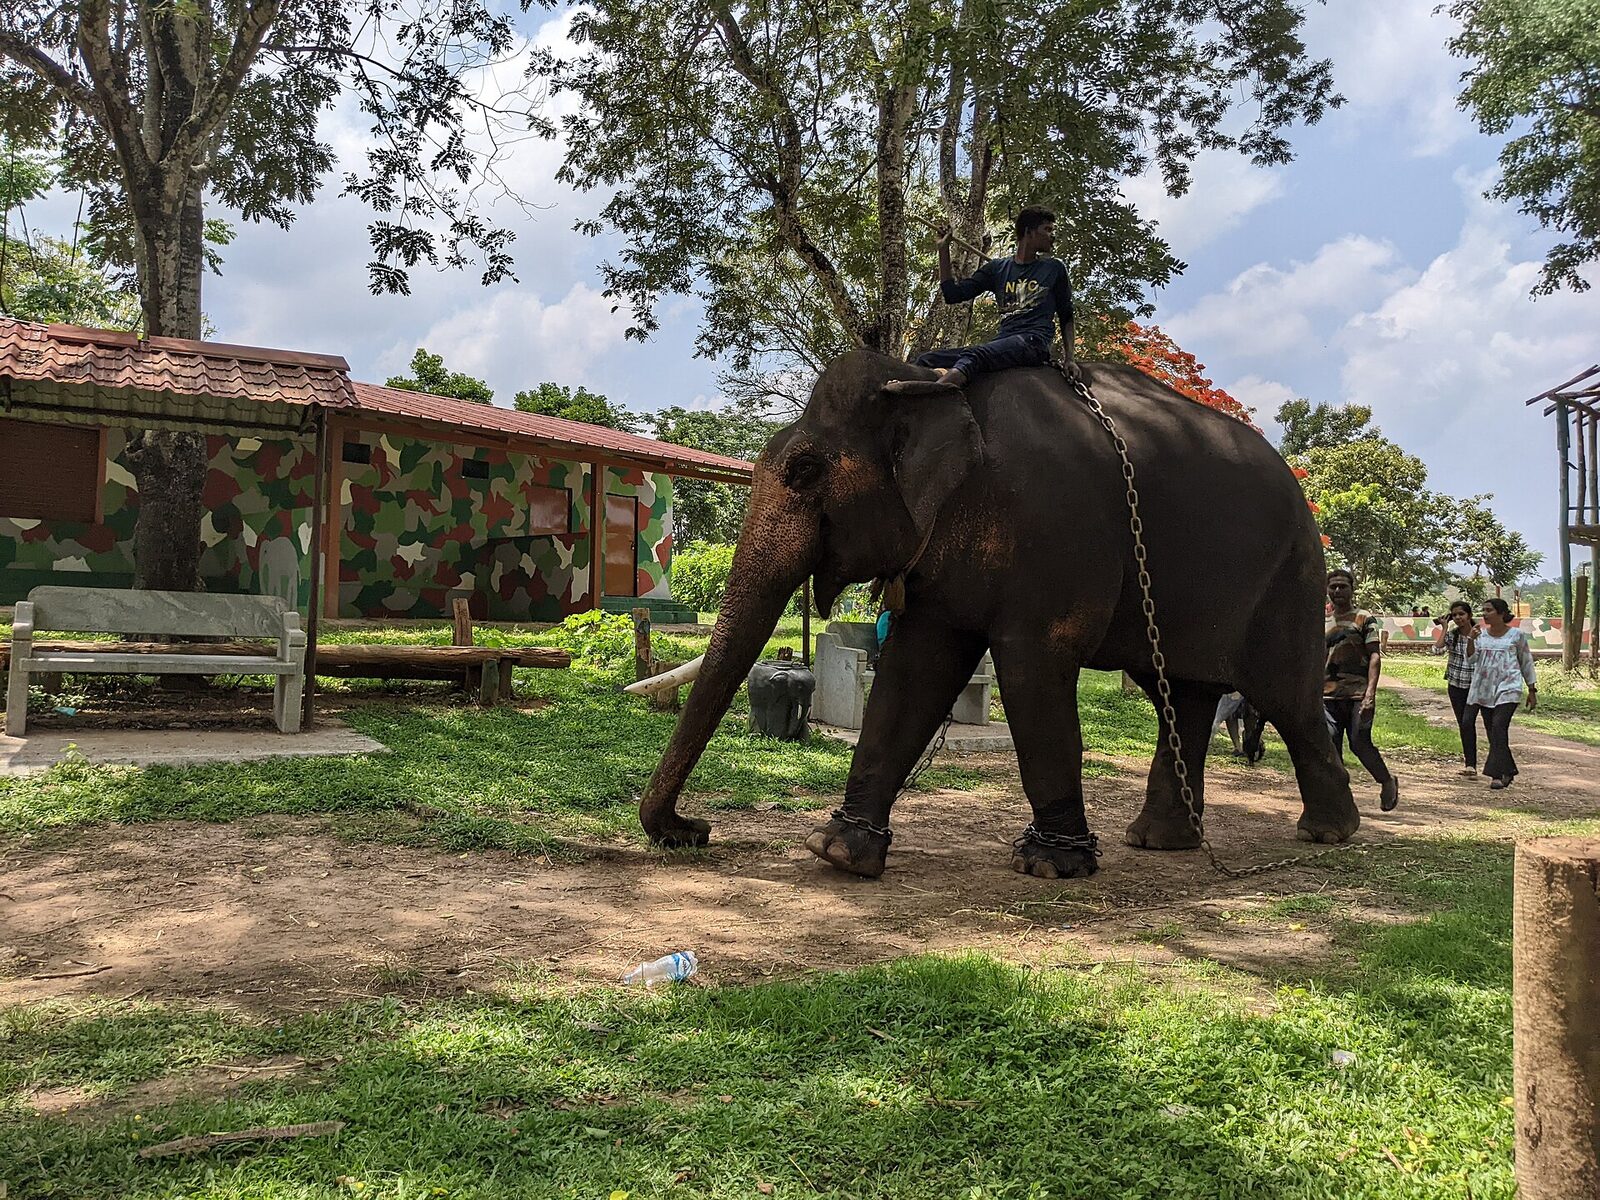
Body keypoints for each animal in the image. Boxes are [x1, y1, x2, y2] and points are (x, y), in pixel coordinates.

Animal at [638, 349, 1359, 880]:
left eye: (805, 470)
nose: (694, 831)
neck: (929, 386)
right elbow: (914, 670)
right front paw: (838, 851)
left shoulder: (1056, 528)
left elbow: (1031, 668)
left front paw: (1050, 866)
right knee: (1180, 696)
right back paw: (1158, 841)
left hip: (1292, 579)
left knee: (1287, 698)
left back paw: (1328, 832)